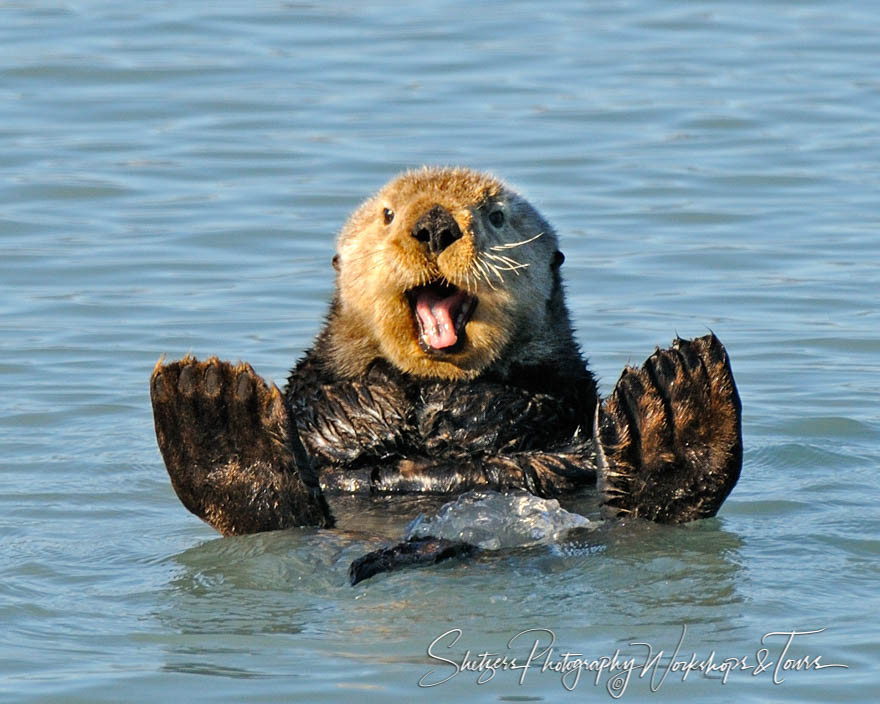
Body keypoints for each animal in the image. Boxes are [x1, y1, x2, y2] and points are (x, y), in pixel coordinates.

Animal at [151, 168, 744, 576]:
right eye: (388, 215)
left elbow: (529, 404)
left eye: (496, 216)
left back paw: (676, 403)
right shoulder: (318, 385)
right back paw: (216, 412)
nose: (435, 223)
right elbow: (327, 401)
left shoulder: (562, 392)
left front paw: (457, 412)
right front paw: (379, 408)